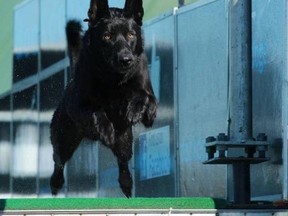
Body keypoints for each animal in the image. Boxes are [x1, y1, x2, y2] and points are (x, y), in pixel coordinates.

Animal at [49, 0, 158, 197]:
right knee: (59, 162)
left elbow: (147, 98)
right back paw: (55, 183)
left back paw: (127, 184)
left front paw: (138, 111)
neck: (113, 79)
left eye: (131, 34)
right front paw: (106, 129)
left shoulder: (144, 86)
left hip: (124, 142)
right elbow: (96, 111)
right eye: (107, 36)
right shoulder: (79, 106)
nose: (126, 59)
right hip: (64, 139)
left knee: (123, 163)